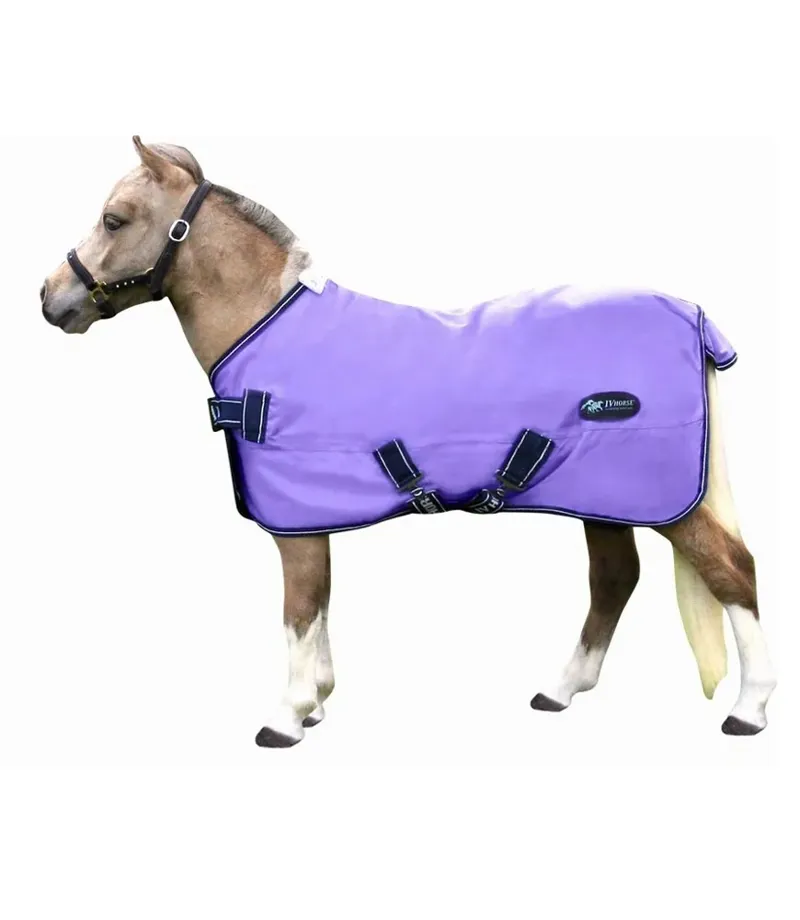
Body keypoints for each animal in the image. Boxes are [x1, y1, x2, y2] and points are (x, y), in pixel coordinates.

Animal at [40, 137, 776, 747]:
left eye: (114, 219)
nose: (50, 297)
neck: (267, 325)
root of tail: (696, 322)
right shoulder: (314, 519)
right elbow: (320, 608)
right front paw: (318, 702)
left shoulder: (295, 525)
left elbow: (299, 613)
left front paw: (287, 717)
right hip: (603, 499)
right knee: (614, 579)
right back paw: (560, 691)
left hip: (664, 504)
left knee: (732, 570)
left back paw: (749, 710)